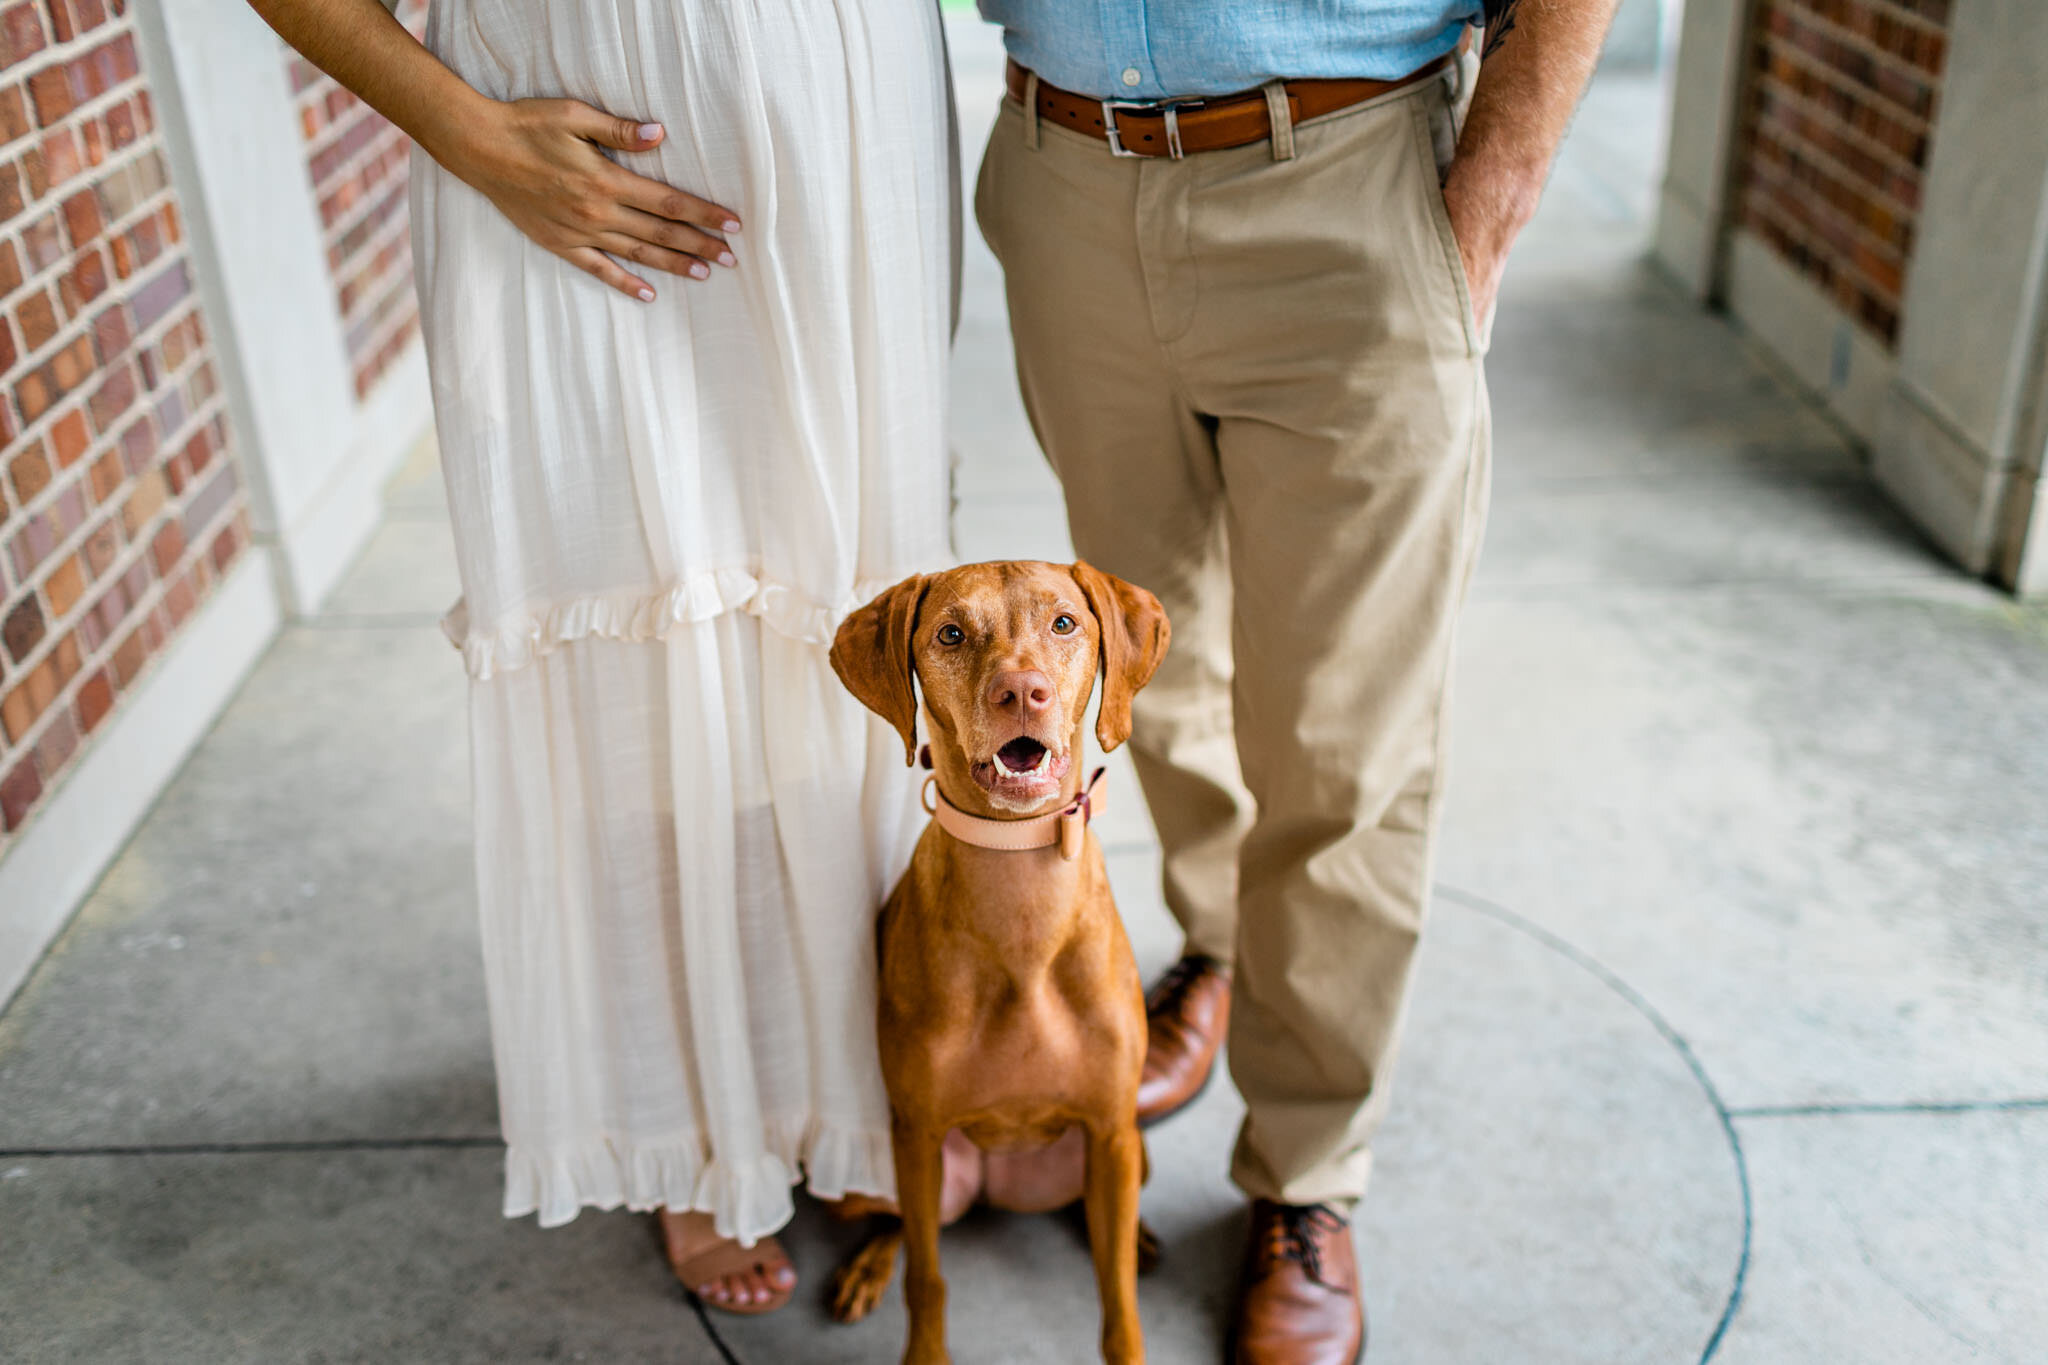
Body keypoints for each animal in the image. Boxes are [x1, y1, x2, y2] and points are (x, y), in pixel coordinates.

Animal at [827, 560, 1171, 1358]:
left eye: (1064, 623)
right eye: (951, 633)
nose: (1021, 692)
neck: (1021, 910)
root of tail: (996, 1185)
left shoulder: (1112, 1130)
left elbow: (1118, 1305)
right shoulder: (918, 1135)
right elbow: (928, 1281)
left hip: (1122, 1150)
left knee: (1101, 1215)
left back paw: (1135, 1234)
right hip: (885, 1172)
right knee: (896, 1224)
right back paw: (867, 1266)